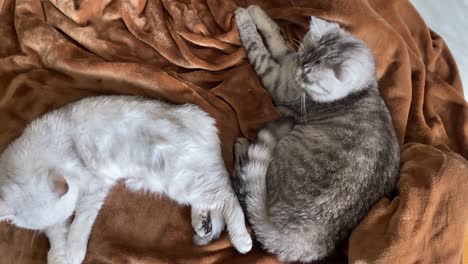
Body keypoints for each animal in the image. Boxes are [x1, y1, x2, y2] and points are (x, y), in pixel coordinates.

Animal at [0, 96, 252, 264]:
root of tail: (201, 117)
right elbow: (57, 233)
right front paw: (58, 253)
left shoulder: (92, 189)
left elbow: (79, 225)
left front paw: (71, 253)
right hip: (179, 183)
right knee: (211, 201)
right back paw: (202, 223)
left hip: (185, 178)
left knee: (228, 199)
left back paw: (241, 239)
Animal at [232, 6, 400, 262]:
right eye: (303, 59)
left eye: (309, 77)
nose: (298, 74)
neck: (362, 90)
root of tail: (290, 239)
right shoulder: (287, 62)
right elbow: (275, 35)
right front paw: (256, 13)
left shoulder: (276, 80)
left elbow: (257, 48)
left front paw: (245, 20)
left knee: (245, 189)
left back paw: (242, 146)